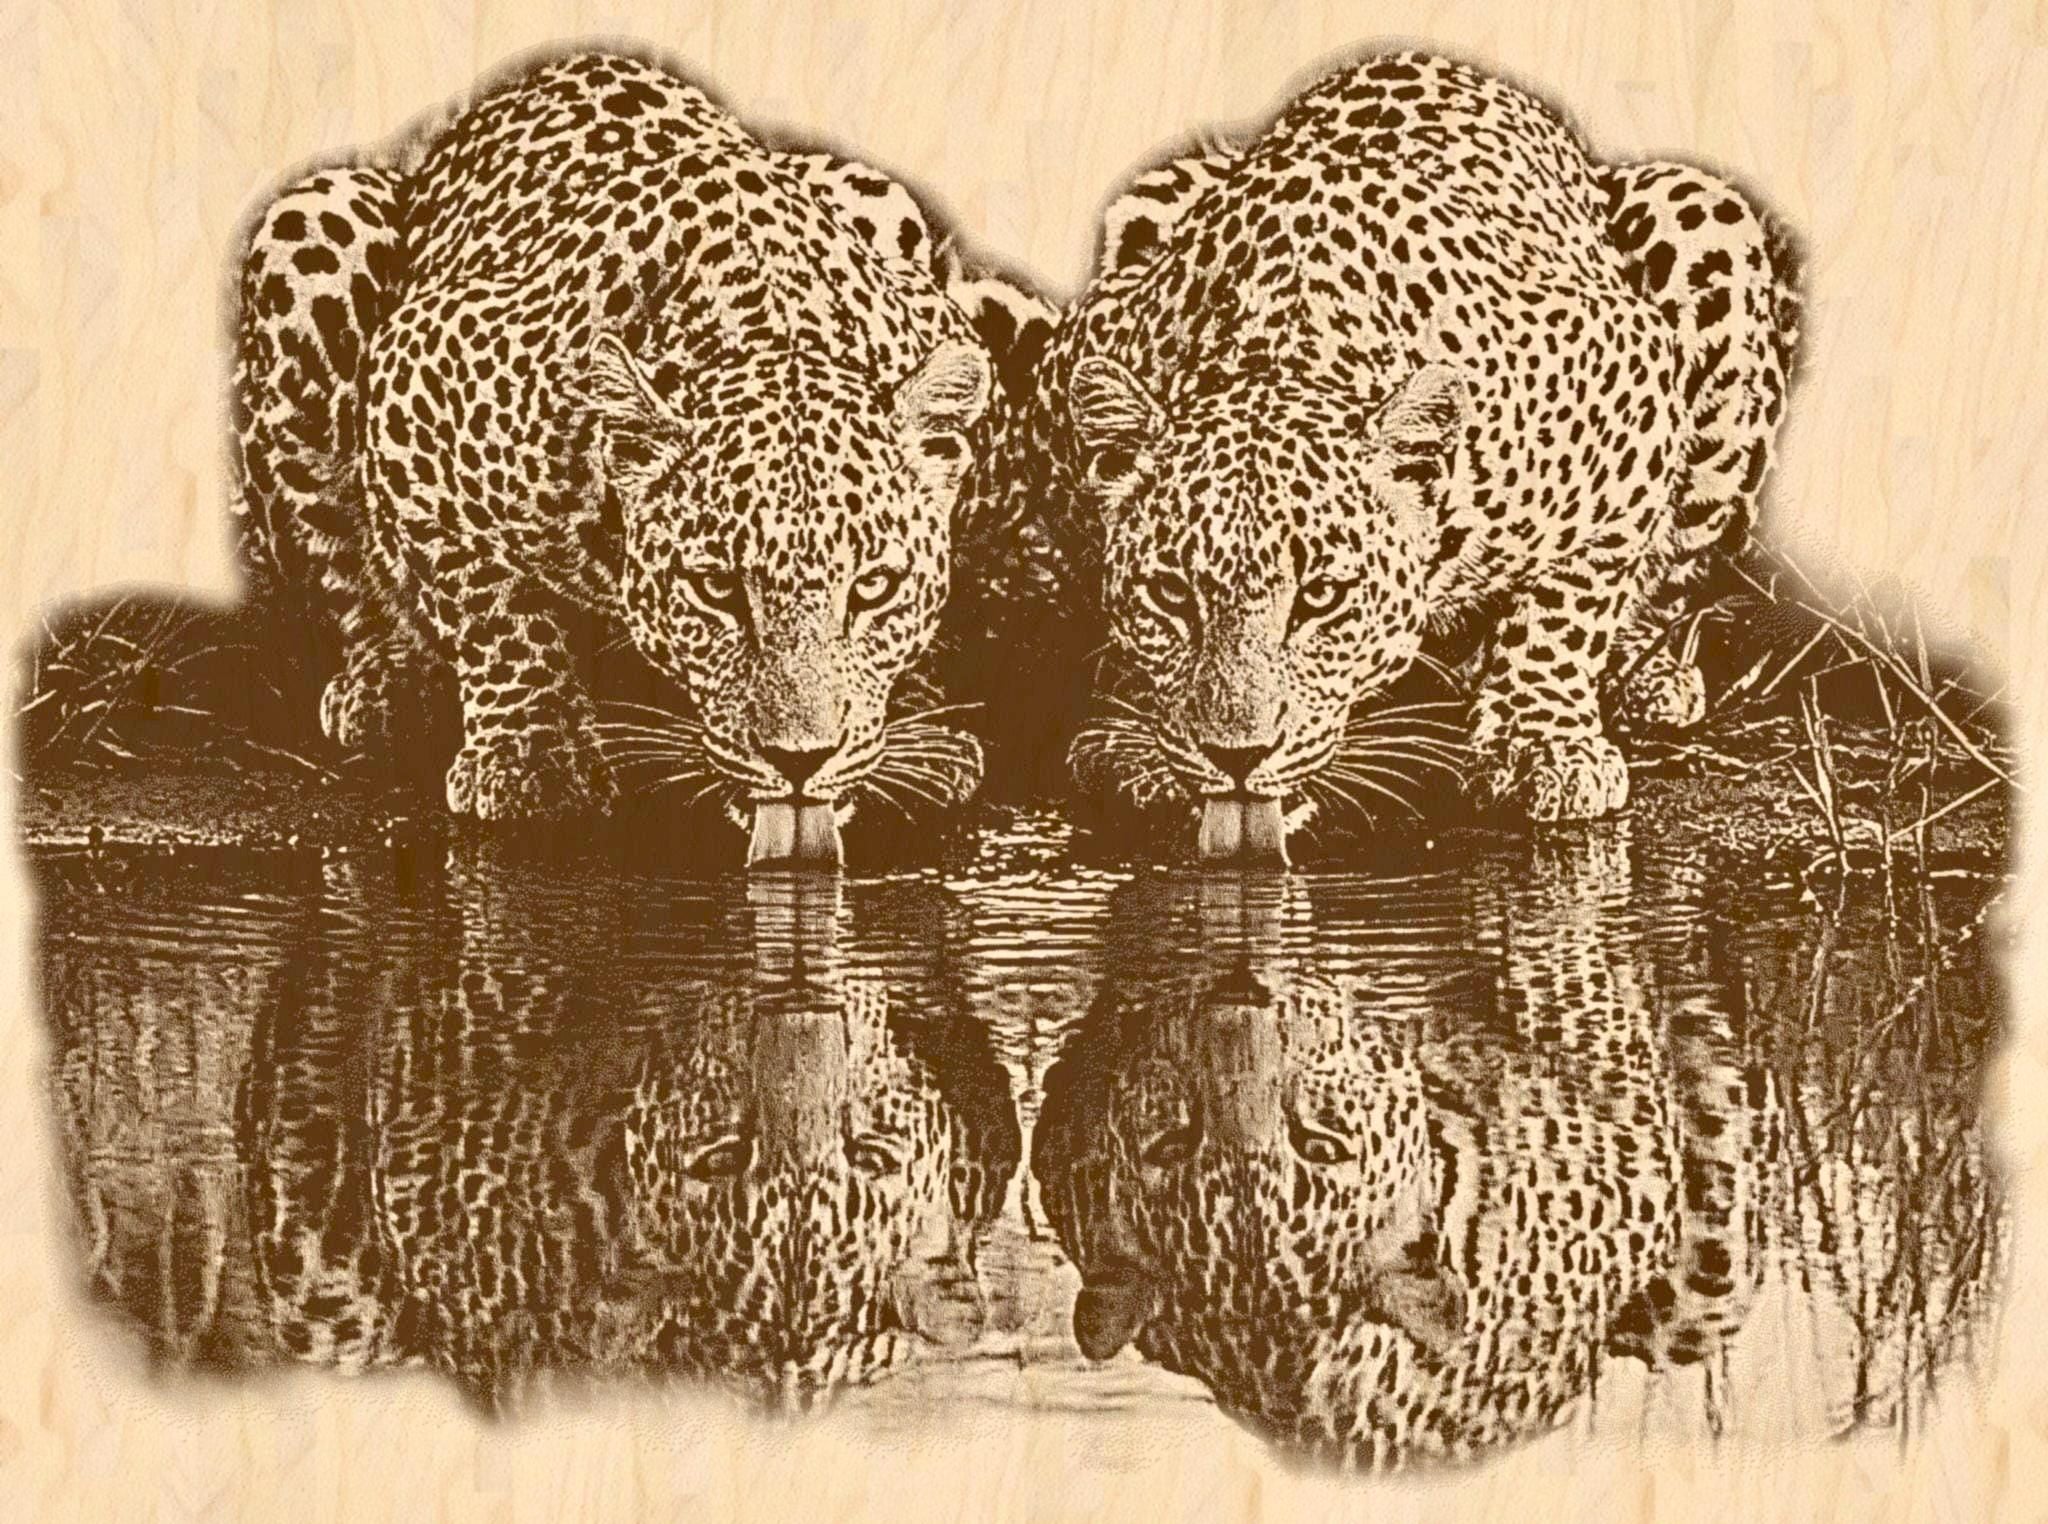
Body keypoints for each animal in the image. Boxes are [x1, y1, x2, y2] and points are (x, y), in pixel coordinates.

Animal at [230, 47, 1053, 864]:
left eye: (875, 587)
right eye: (717, 589)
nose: (800, 760)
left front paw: (917, 720)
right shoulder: (418, 372)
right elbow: (487, 600)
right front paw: (531, 756)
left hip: (879, 193)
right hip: (306, 227)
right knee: (337, 557)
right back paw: (387, 683)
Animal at [1027, 48, 1803, 861]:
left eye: (1321, 598)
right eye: (1171, 595)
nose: (1237, 756)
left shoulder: (1630, 379)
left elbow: (1572, 599)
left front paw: (1543, 739)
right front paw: (1140, 740)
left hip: (1709, 226)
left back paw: (1648, 676)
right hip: (1148, 197)